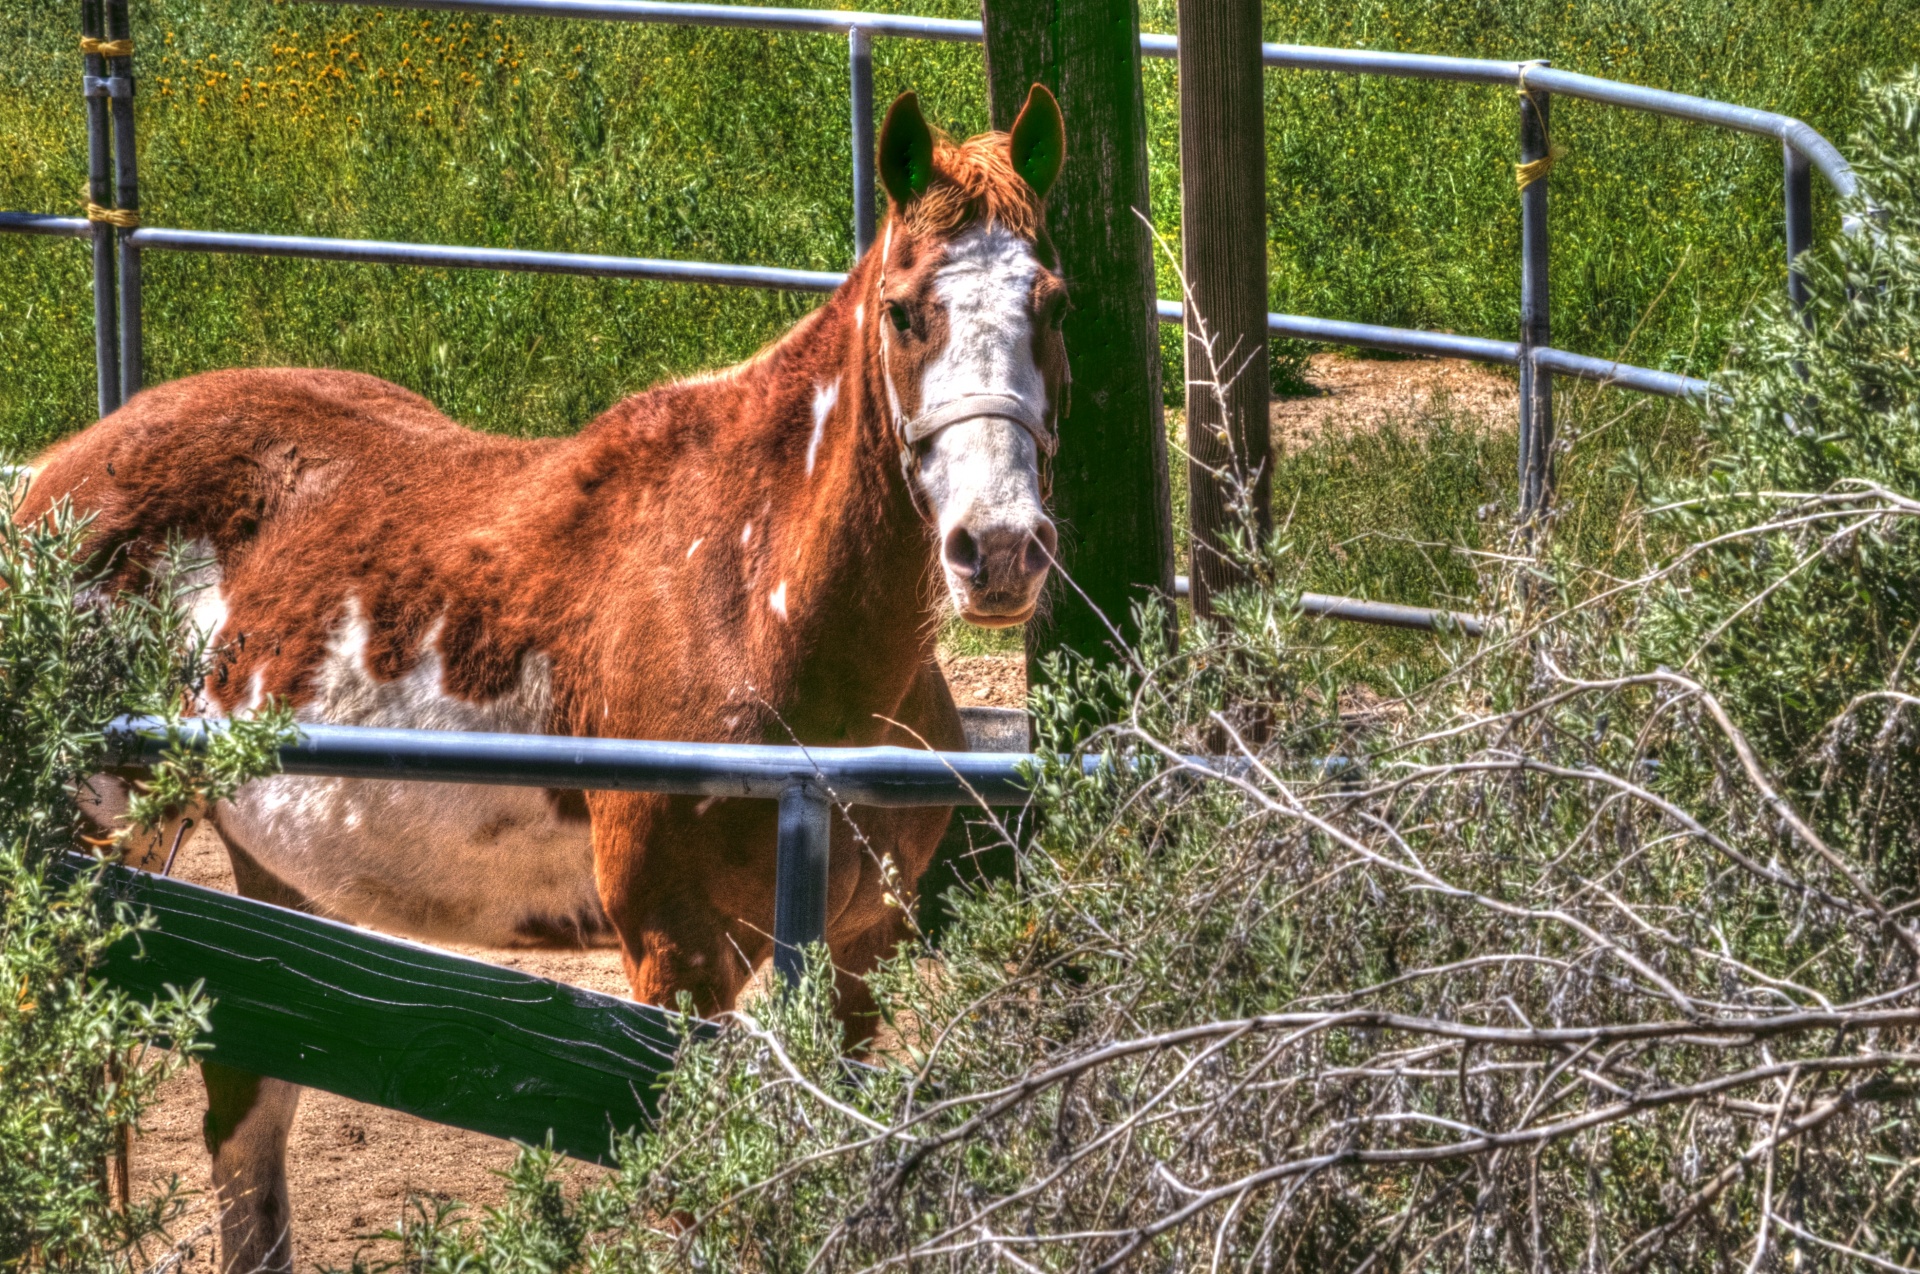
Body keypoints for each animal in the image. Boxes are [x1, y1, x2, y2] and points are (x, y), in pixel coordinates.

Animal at [15, 89, 1075, 1274]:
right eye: (902, 312)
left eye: (1053, 304)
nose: (998, 548)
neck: (750, 597)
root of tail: (65, 469)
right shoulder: (679, 953)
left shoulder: (861, 947)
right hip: (85, 840)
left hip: (270, 871)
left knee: (247, 1098)